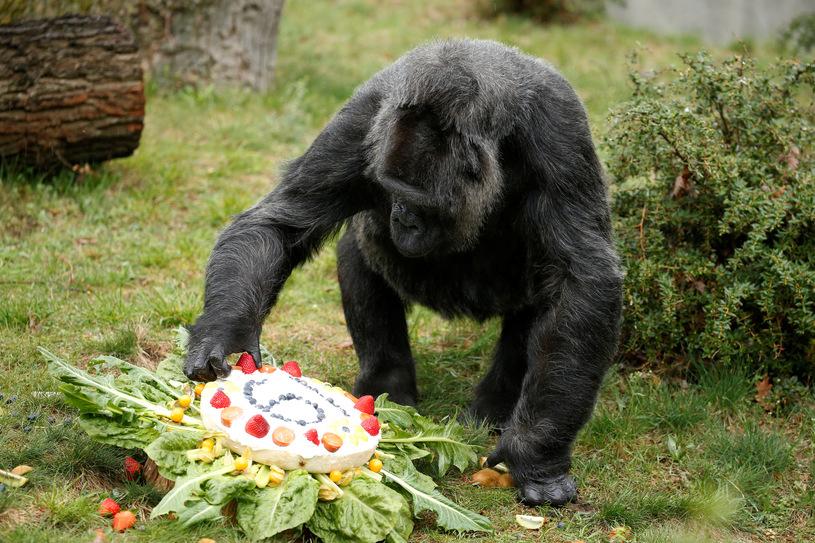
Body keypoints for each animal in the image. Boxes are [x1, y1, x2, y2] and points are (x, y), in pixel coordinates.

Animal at [185, 40, 620, 508]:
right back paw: (387, 385)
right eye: (391, 191)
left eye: (419, 202)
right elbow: (279, 224)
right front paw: (224, 336)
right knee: (361, 252)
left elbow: (580, 278)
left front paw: (536, 452)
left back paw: (495, 406)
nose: (402, 218)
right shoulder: (361, 122)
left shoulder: (558, 129)